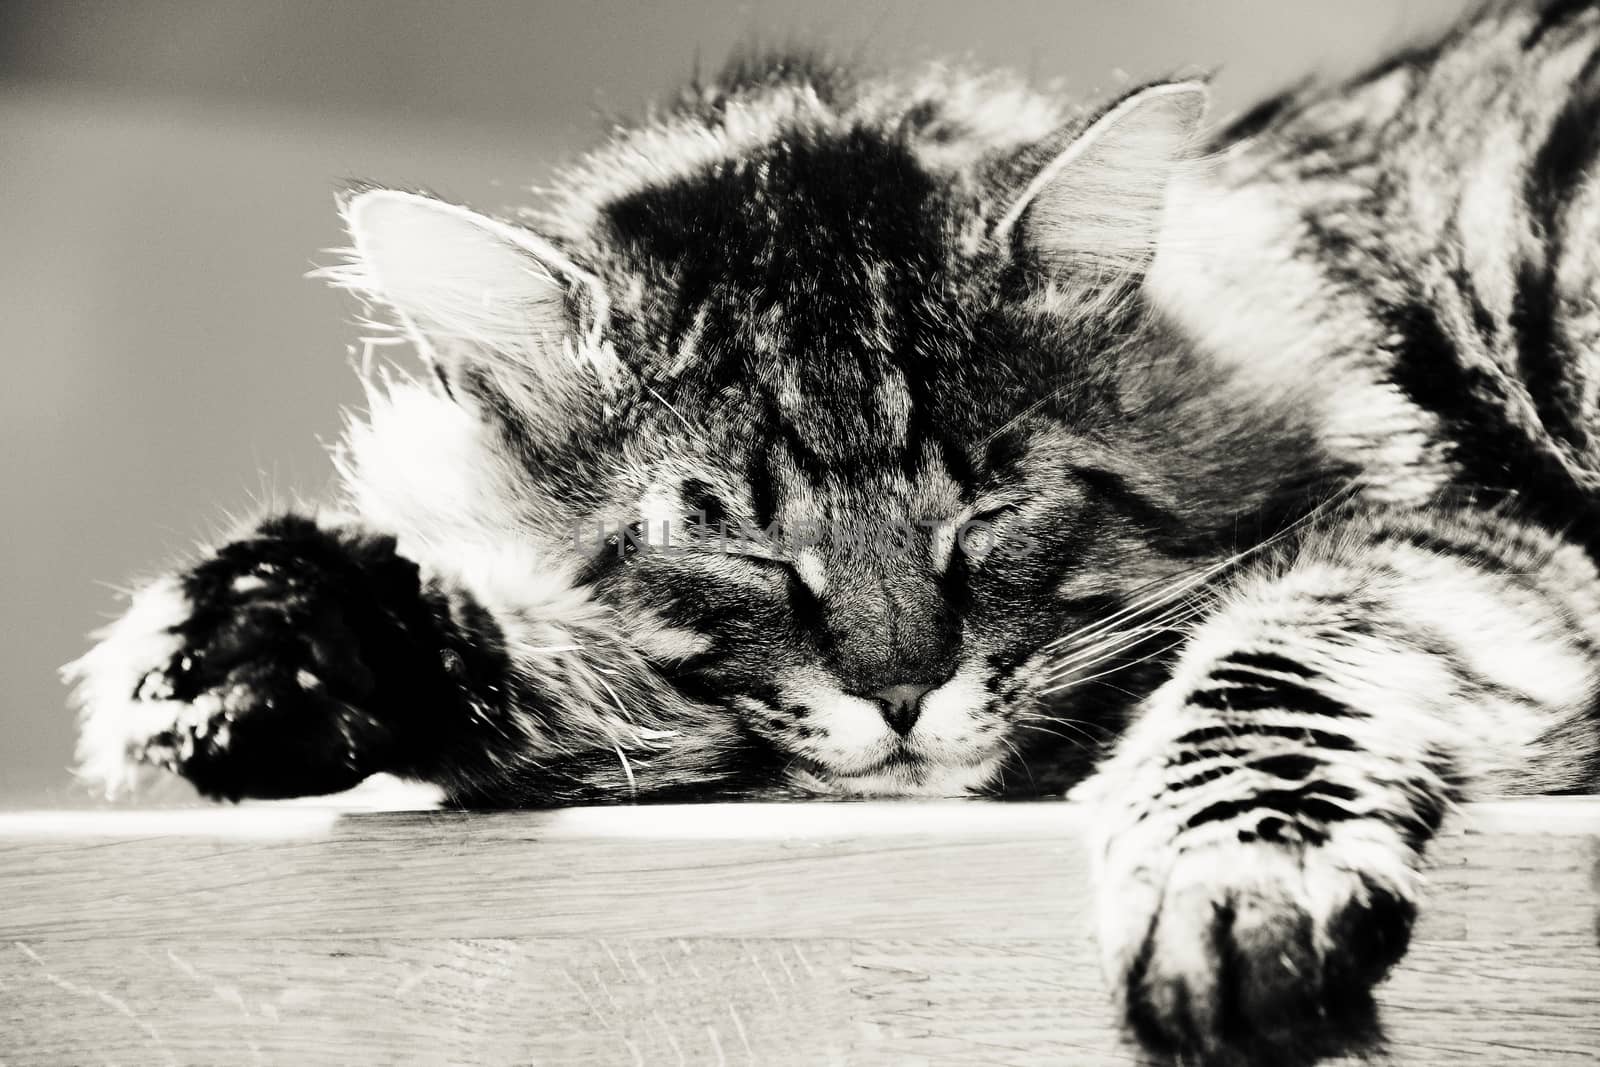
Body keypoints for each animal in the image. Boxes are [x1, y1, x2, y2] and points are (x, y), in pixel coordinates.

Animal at [65, 2, 1600, 1062]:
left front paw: (1234, 896)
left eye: (993, 496)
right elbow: (549, 672)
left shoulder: (1469, 546)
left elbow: (1264, 674)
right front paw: (250, 655)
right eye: (728, 536)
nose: (901, 690)